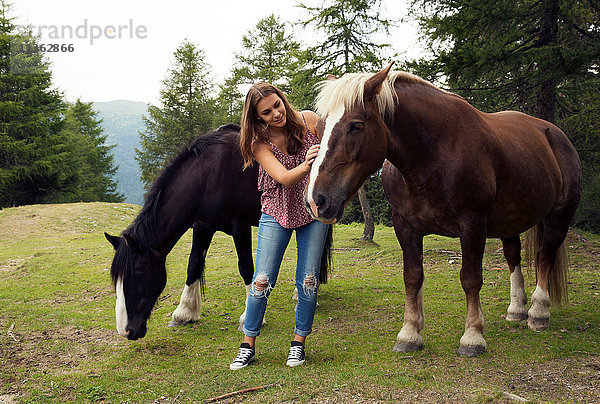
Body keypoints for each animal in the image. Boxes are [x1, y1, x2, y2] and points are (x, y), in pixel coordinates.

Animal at [108, 124, 332, 340]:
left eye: (138, 274)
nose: (126, 331)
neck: (209, 176)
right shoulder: (202, 226)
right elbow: (194, 263)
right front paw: (184, 312)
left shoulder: (240, 227)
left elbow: (246, 268)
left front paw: (248, 318)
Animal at [304, 64, 580, 356]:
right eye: (320, 127)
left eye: (356, 126)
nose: (316, 200)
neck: (433, 155)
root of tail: (554, 134)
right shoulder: (405, 227)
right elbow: (412, 277)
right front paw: (409, 333)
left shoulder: (472, 225)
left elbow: (470, 278)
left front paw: (472, 336)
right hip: (510, 222)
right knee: (513, 256)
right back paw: (517, 309)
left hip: (558, 217)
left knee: (544, 257)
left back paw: (538, 312)